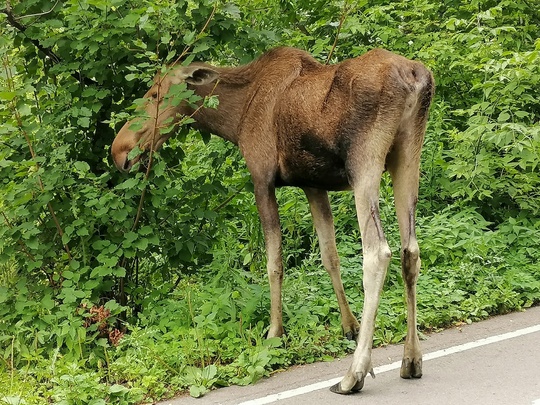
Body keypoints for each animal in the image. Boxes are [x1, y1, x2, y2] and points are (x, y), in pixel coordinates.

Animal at [110, 45, 434, 392]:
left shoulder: (261, 177)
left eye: (155, 93)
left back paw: (354, 374)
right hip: (407, 155)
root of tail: (416, 78)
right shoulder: (312, 184)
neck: (235, 117)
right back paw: (411, 360)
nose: (119, 151)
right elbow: (329, 255)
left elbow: (274, 263)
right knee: (410, 250)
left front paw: (275, 333)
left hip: (365, 163)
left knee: (378, 253)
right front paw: (349, 325)